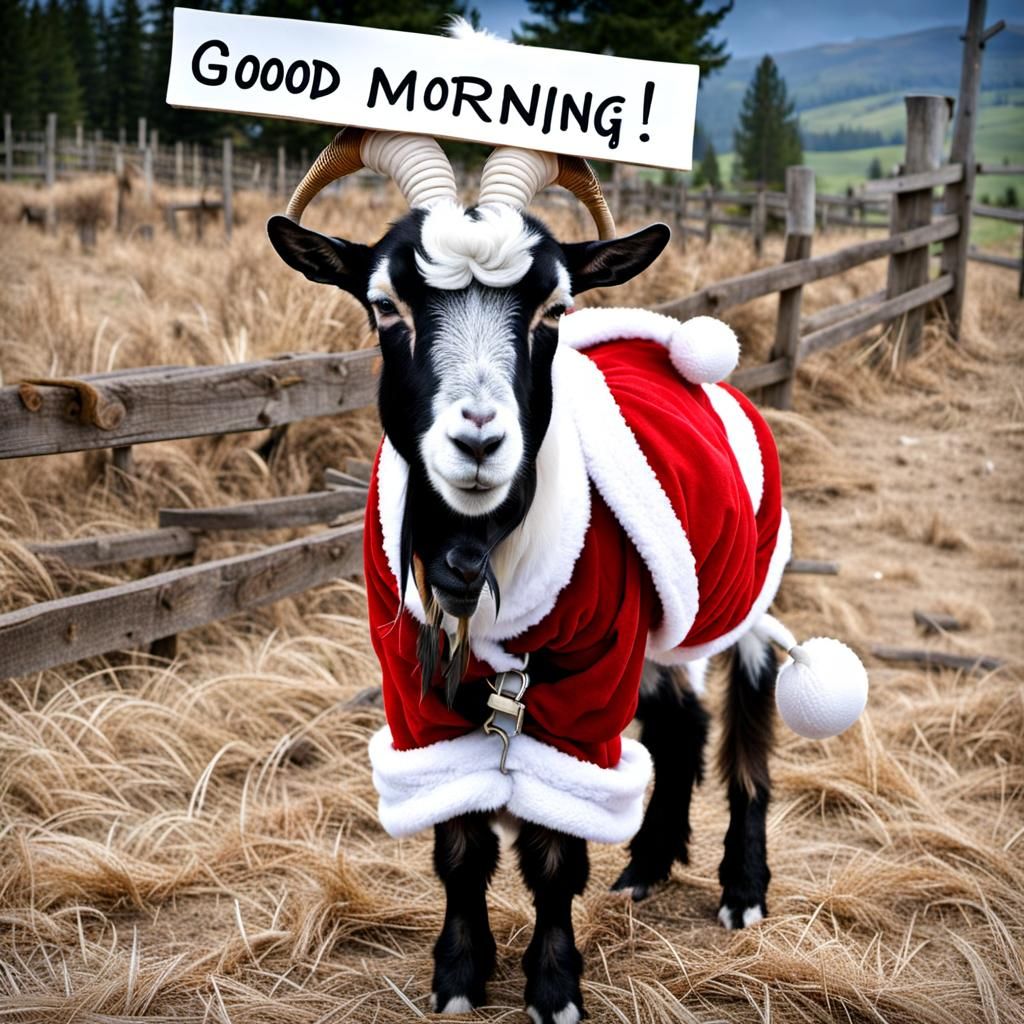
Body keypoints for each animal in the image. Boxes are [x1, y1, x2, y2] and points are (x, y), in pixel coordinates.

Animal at [268, 128, 866, 1023]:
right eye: (385, 307)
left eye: (553, 309)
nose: (479, 441)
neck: (479, 557)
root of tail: (682, 350)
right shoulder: (412, 682)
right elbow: (459, 839)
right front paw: (458, 975)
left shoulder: (591, 672)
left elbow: (554, 849)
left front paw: (554, 989)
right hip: (658, 624)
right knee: (682, 722)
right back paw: (647, 866)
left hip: (745, 582)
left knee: (749, 715)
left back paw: (743, 887)